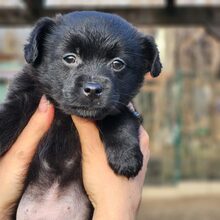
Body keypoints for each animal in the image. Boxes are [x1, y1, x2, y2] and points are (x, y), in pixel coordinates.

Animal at [0, 11, 162, 218]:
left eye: (117, 64)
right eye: (70, 58)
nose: (92, 89)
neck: (64, 115)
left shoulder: (122, 106)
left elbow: (120, 119)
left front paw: (126, 157)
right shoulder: (22, 98)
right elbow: (7, 117)